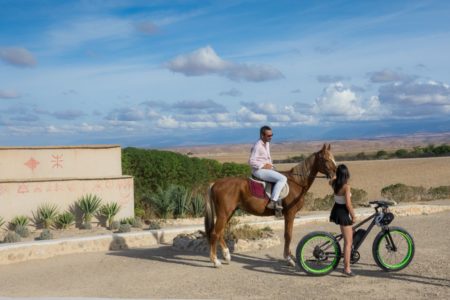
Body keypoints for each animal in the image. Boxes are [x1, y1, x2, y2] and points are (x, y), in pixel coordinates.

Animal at [206, 143, 336, 268]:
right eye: (326, 159)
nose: (335, 176)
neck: (297, 182)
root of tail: (215, 183)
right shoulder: (290, 213)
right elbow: (288, 235)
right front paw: (289, 259)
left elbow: (288, 235)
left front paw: (290, 256)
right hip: (223, 214)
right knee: (215, 233)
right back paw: (215, 261)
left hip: (229, 213)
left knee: (220, 233)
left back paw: (227, 256)